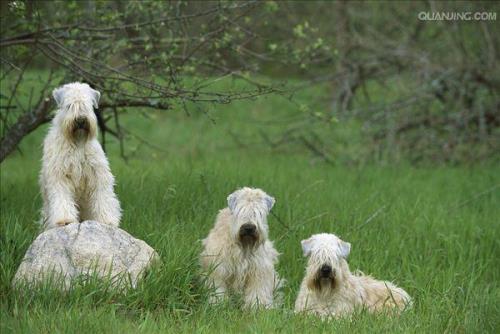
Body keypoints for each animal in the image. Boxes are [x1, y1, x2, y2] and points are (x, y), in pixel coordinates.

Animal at [39, 82, 121, 231]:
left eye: (87, 105)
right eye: (69, 105)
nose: (81, 120)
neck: (77, 143)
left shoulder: (98, 174)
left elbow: (103, 197)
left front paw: (106, 220)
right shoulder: (59, 175)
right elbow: (62, 199)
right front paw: (64, 219)